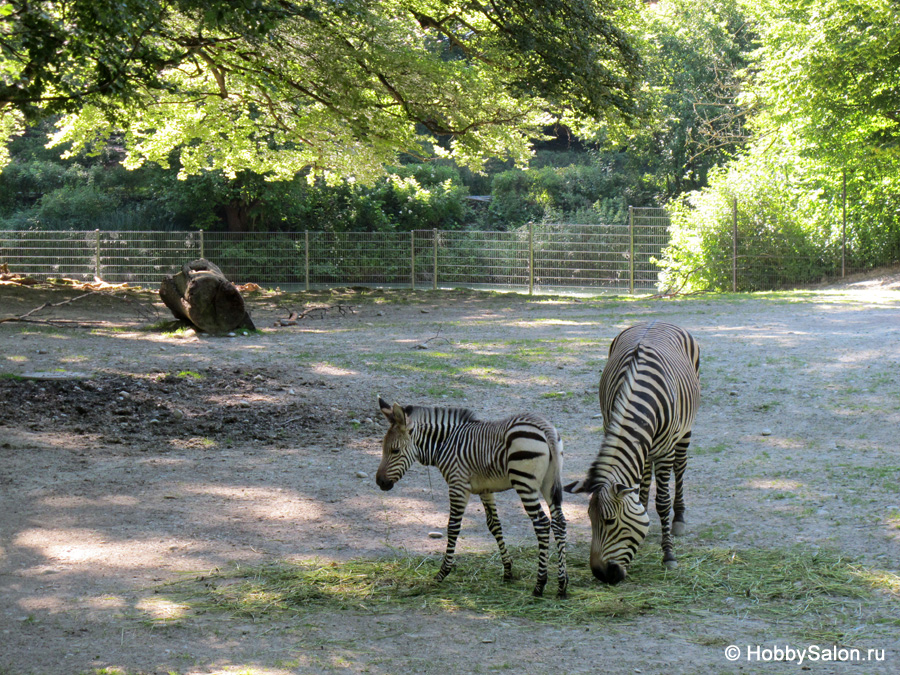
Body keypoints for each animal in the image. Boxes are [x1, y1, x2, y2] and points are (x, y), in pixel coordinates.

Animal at [376, 398, 568, 600]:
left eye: (395, 451)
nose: (379, 482)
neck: (444, 444)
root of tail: (544, 427)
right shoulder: (485, 489)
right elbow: (494, 525)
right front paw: (508, 570)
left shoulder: (458, 485)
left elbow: (453, 527)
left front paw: (443, 572)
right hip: (548, 483)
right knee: (559, 522)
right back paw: (562, 585)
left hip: (525, 483)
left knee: (542, 523)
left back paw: (540, 584)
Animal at [568, 322, 700, 588]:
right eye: (589, 520)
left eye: (609, 521)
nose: (602, 575)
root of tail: (657, 321)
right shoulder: (613, 427)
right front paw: (644, 514)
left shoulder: (665, 450)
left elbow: (662, 502)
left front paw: (668, 555)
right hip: (648, 449)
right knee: (646, 475)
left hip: (685, 431)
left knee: (680, 467)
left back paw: (679, 518)